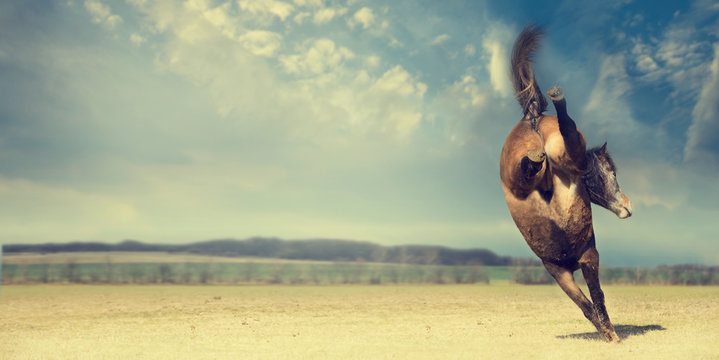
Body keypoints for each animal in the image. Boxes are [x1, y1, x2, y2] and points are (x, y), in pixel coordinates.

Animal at [500, 26, 632, 344]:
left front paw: (606, 333)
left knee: (529, 167)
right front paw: (612, 336)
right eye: (610, 171)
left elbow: (587, 305)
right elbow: (595, 299)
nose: (627, 207)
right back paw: (557, 100)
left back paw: (535, 158)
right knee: (570, 137)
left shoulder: (561, 272)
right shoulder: (583, 261)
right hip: (565, 158)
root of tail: (532, 118)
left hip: (518, 170)